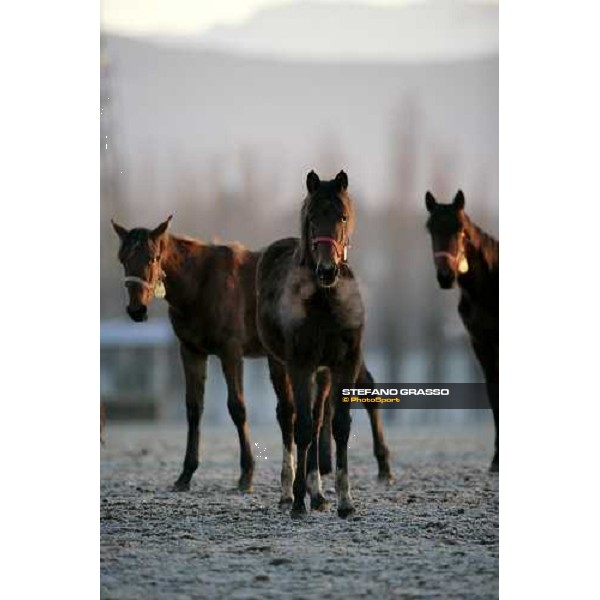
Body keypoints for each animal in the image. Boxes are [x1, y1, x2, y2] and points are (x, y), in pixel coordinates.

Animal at [111, 216, 394, 496]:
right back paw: (325, 466)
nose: (136, 309)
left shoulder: (230, 350)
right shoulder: (191, 350)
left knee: (366, 391)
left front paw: (246, 474)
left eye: (152, 258)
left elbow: (237, 407)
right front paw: (185, 474)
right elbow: (193, 408)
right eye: (123, 258)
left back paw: (382, 467)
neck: (200, 284)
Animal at [424, 190, 500, 472]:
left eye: (460, 230)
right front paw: (496, 461)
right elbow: (493, 393)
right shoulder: (480, 344)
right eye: (430, 229)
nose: (445, 276)